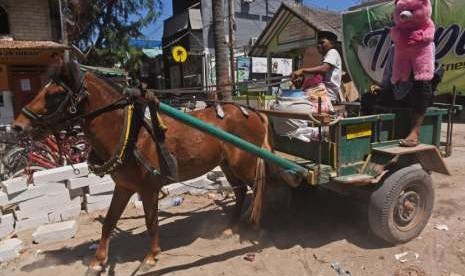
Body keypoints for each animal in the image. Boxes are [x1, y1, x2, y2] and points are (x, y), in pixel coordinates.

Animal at [11, 61, 272, 274]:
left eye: (54, 94)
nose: (17, 127)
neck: (131, 133)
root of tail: (254, 112)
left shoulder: (148, 189)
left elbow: (151, 222)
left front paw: (151, 257)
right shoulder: (124, 187)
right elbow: (109, 222)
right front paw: (98, 261)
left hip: (246, 163)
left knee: (259, 188)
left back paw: (257, 229)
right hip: (227, 164)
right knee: (240, 191)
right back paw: (230, 227)